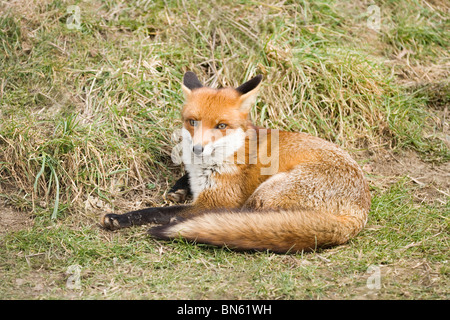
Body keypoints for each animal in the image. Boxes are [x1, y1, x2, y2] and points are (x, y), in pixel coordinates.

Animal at [101, 72, 370, 252]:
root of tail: (359, 213)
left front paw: (120, 218)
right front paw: (179, 187)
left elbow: (155, 211)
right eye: (192, 122)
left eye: (221, 126)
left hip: (265, 194)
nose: (197, 149)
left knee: (239, 220)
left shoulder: (215, 201)